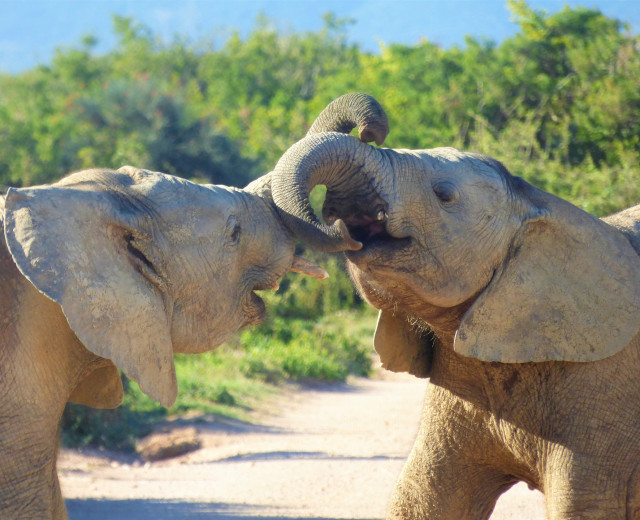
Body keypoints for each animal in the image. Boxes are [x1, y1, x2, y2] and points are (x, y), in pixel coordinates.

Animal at [272, 128, 640, 516]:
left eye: (444, 195)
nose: (339, 222)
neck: (540, 206)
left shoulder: (605, 391)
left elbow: (584, 506)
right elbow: (423, 496)